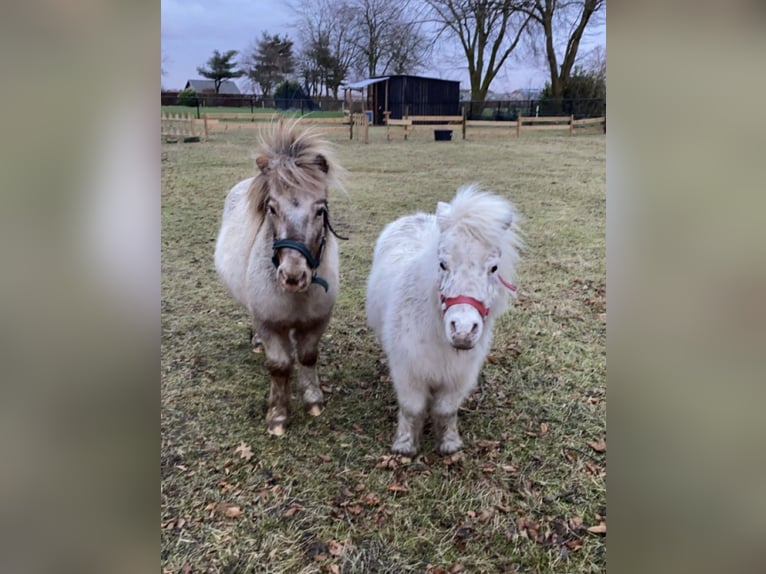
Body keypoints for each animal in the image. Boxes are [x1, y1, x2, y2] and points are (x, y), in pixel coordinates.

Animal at [366, 187, 520, 456]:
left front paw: (449, 444)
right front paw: (405, 445)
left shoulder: (458, 376)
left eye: (494, 268)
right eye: (442, 264)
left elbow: (446, 410)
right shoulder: (408, 371)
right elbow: (412, 408)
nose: (463, 330)